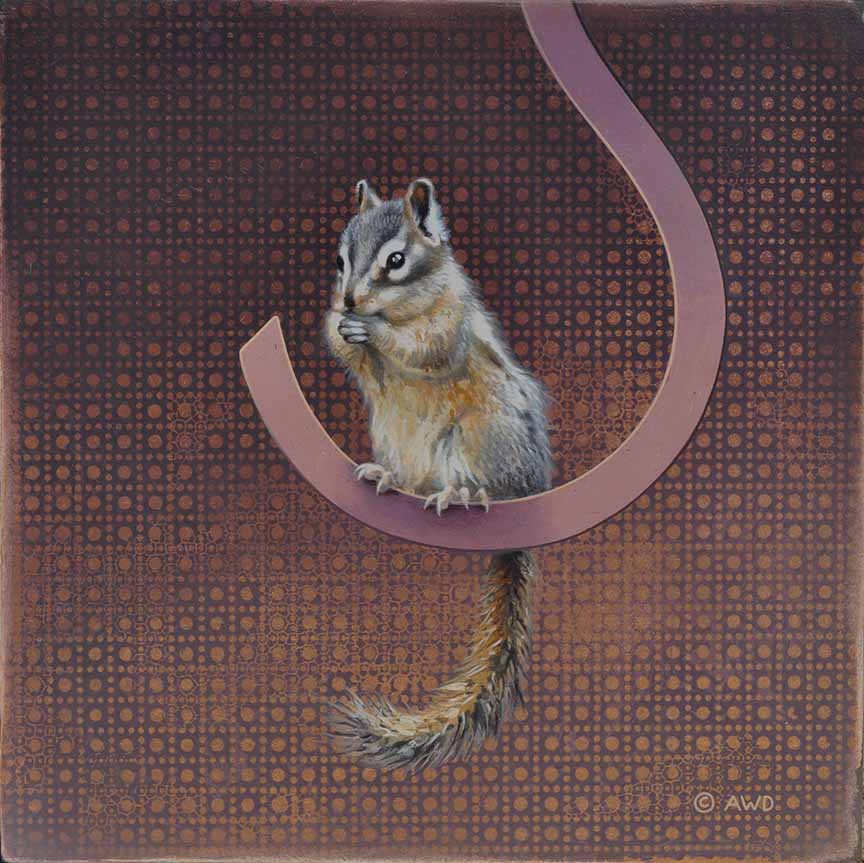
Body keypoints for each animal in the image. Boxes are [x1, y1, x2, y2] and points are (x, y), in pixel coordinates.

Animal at [323, 177, 552, 773]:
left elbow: (426, 348)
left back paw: (464, 493)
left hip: (481, 436)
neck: (402, 305)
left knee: (486, 486)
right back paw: (386, 477)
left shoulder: (448, 320)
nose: (350, 300)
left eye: (396, 260)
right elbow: (345, 352)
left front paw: (373, 329)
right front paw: (342, 327)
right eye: (339, 259)